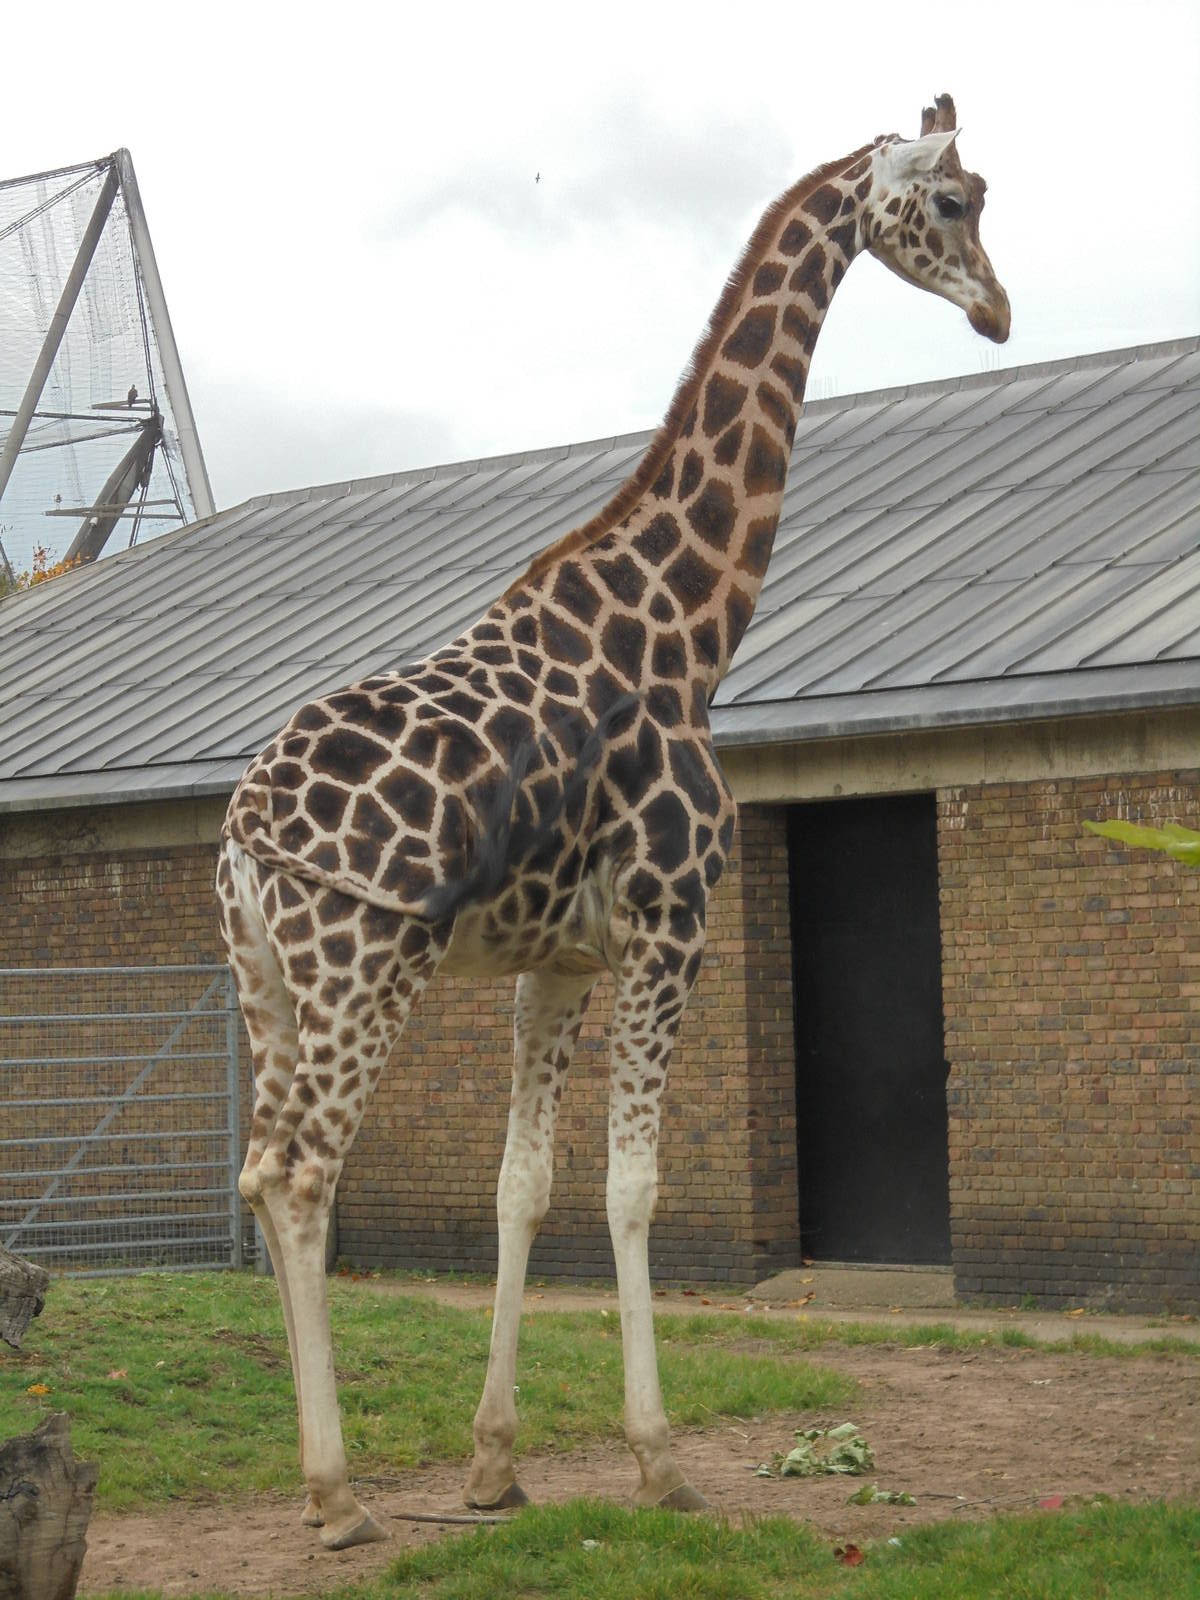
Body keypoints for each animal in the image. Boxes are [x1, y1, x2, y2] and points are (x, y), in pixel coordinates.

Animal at [217, 93, 1008, 1549]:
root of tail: (244, 825)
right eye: (954, 201)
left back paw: (324, 1481)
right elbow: (633, 1186)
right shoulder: (670, 926)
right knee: (301, 1177)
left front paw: (493, 1467)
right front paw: (659, 1460)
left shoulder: (557, 962)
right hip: (364, 969)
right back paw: (337, 1496)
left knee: (257, 1173)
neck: (688, 631)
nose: (997, 308)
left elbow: (522, 1186)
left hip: (268, 979)